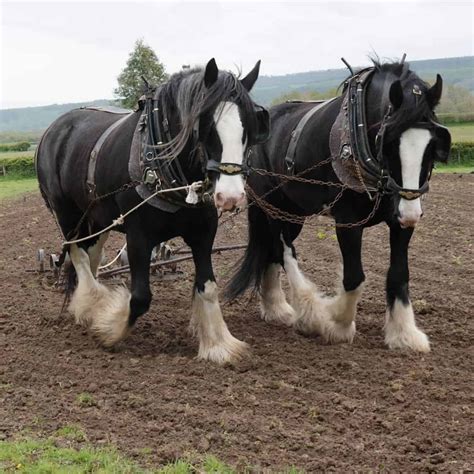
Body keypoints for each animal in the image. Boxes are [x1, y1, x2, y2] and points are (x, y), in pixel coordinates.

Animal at [35, 59, 268, 362]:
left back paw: (86, 307)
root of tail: (54, 129)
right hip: (68, 215)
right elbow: (141, 297)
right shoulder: (138, 237)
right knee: (78, 254)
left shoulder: (204, 233)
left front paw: (218, 345)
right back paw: (93, 305)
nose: (230, 196)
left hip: (98, 218)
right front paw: (109, 330)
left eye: (248, 129)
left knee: (91, 255)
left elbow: (208, 287)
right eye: (205, 125)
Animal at [228, 60, 450, 352]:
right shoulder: (347, 221)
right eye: (388, 143)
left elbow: (400, 273)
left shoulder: (399, 220)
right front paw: (337, 323)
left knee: (272, 251)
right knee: (284, 250)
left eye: (432, 146)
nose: (411, 212)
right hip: (272, 207)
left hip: (294, 213)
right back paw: (307, 311)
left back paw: (276, 308)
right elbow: (354, 277)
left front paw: (404, 333)